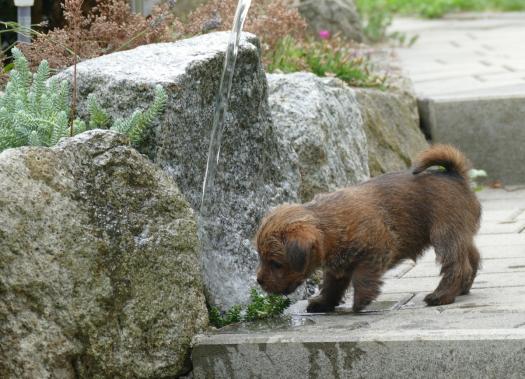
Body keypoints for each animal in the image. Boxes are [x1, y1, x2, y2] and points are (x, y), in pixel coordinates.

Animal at [254, 144, 478, 314]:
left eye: (275, 264)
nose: (258, 281)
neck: (327, 226)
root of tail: (454, 175)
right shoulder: (337, 267)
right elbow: (331, 286)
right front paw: (324, 303)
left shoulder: (376, 249)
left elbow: (363, 277)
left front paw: (360, 301)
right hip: (459, 233)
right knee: (472, 257)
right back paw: (462, 288)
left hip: (445, 234)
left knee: (456, 265)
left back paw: (442, 295)